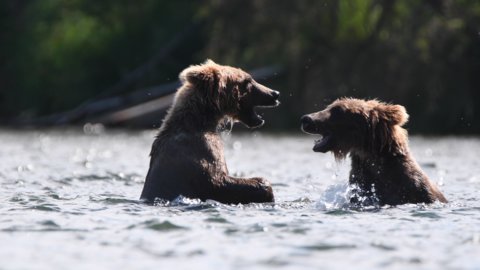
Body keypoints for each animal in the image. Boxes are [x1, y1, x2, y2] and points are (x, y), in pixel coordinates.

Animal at [139, 60, 280, 204]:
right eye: (248, 81)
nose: (275, 93)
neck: (200, 122)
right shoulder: (200, 152)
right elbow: (217, 181)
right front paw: (265, 187)